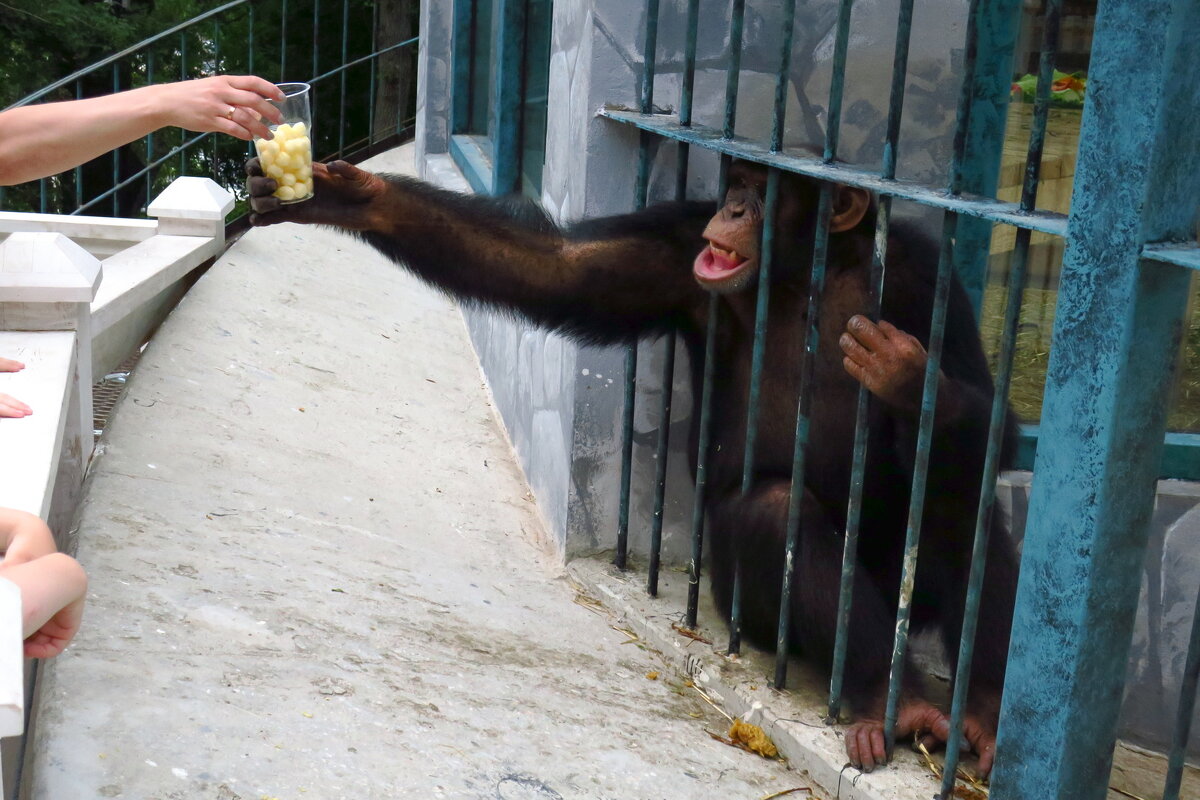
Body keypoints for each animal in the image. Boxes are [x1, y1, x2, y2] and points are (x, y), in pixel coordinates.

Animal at [248, 154, 1017, 777]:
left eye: (764, 192)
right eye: (737, 183)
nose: (734, 209)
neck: (810, 271)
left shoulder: (926, 274)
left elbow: (994, 418)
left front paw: (911, 380)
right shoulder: (678, 248)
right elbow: (558, 264)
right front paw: (350, 198)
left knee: (959, 492)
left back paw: (982, 707)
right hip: (751, 607)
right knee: (779, 511)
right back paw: (899, 702)